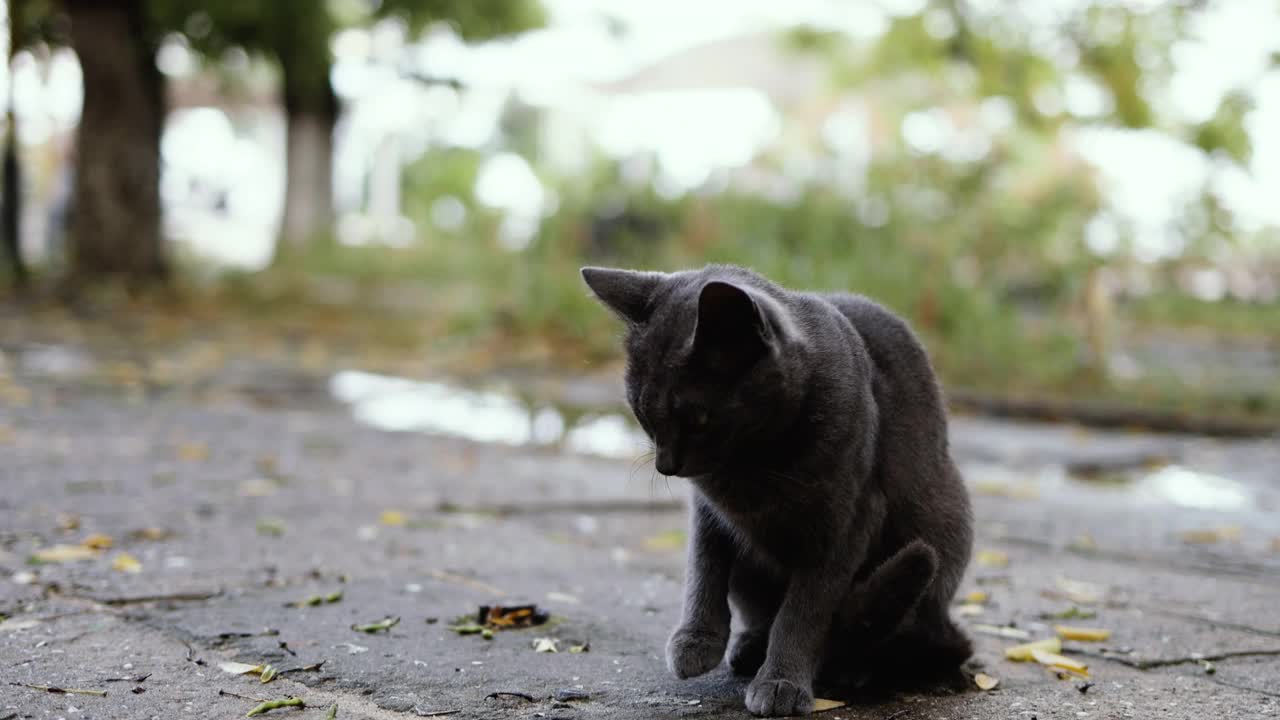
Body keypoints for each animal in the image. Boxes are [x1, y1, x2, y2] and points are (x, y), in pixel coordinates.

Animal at [586, 265, 972, 717]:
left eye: (697, 419)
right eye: (644, 415)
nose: (666, 465)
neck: (753, 465)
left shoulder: (846, 525)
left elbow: (803, 611)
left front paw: (780, 682)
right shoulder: (708, 511)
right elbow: (704, 567)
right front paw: (696, 641)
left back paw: (853, 667)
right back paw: (751, 647)